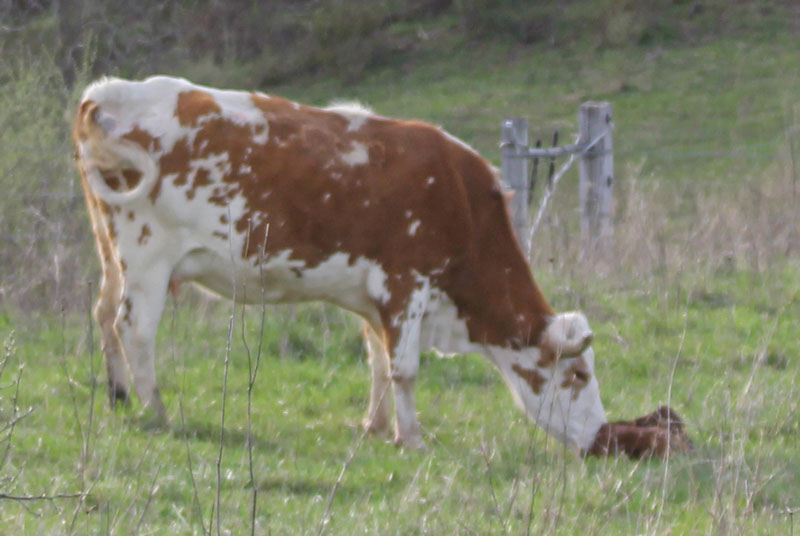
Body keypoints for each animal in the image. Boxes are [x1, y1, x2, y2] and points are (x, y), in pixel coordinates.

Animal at [73, 76, 691, 458]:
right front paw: (410, 438)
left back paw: (119, 395)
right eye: (579, 376)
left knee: (102, 315)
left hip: (111, 252)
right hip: (148, 255)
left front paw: (373, 426)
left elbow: (376, 359)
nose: (601, 436)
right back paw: (156, 410)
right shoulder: (406, 284)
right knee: (134, 327)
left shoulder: (372, 297)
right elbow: (406, 369)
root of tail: (108, 92)